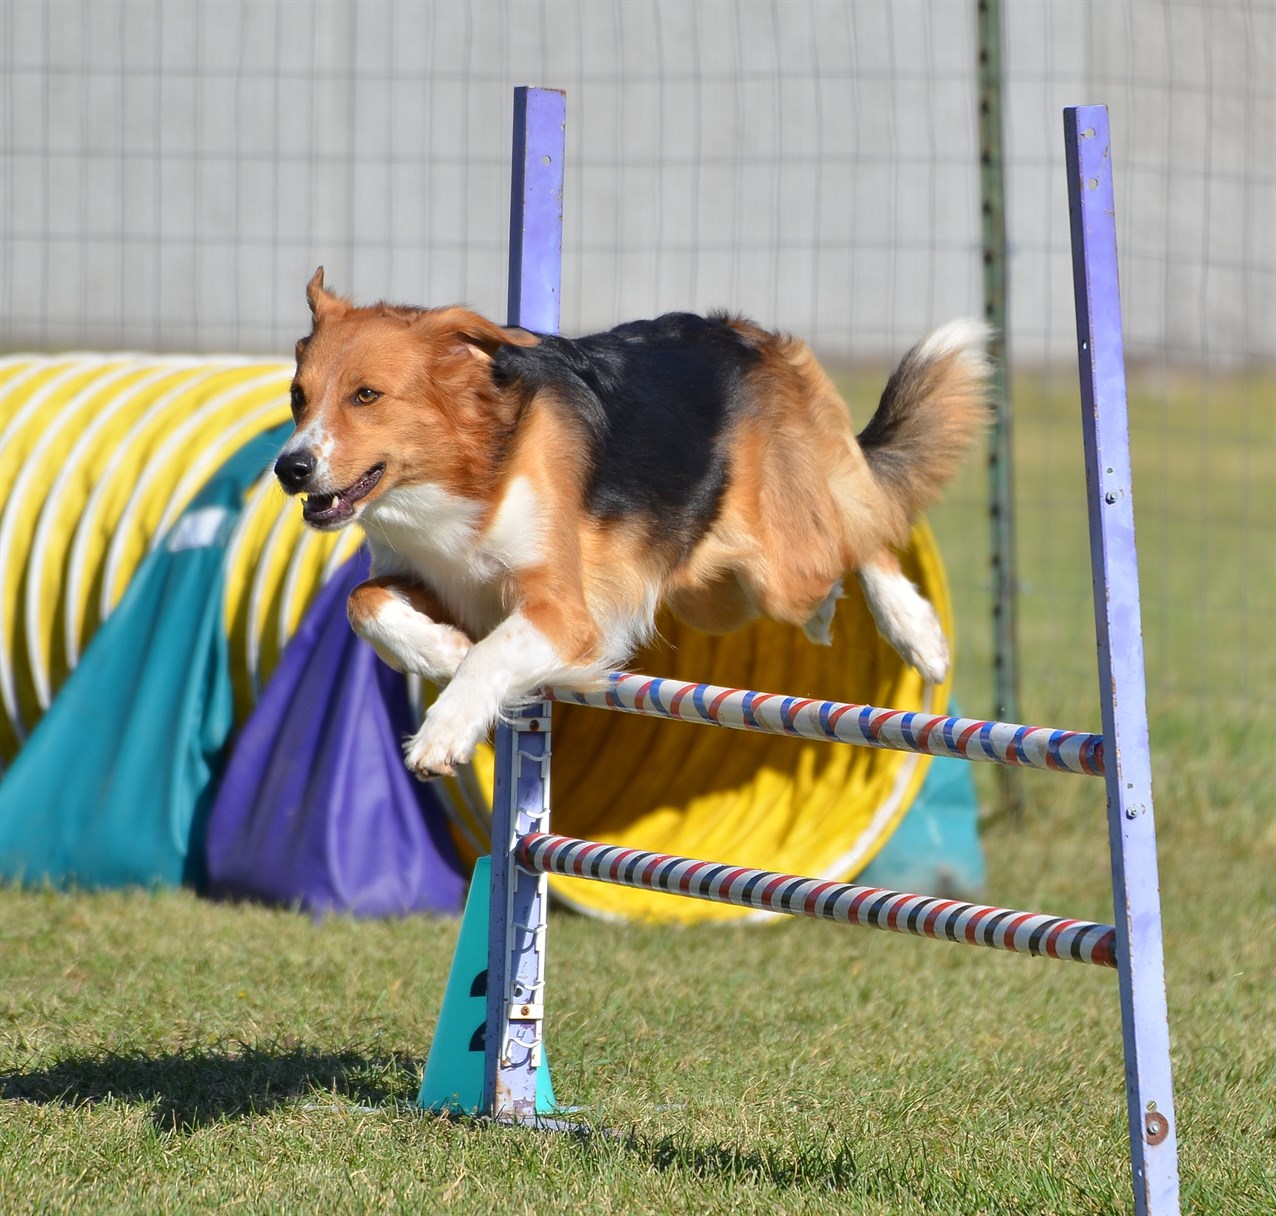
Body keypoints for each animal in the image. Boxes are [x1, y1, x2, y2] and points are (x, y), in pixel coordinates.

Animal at [279, 267, 990, 775]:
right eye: (297, 396)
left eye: (366, 395)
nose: (290, 468)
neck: (472, 467)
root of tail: (750, 336)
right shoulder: (436, 578)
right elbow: (364, 601)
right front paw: (441, 649)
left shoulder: (565, 611)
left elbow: (492, 653)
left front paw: (444, 729)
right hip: (715, 590)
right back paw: (833, 619)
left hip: (780, 570)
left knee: (859, 530)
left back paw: (916, 631)